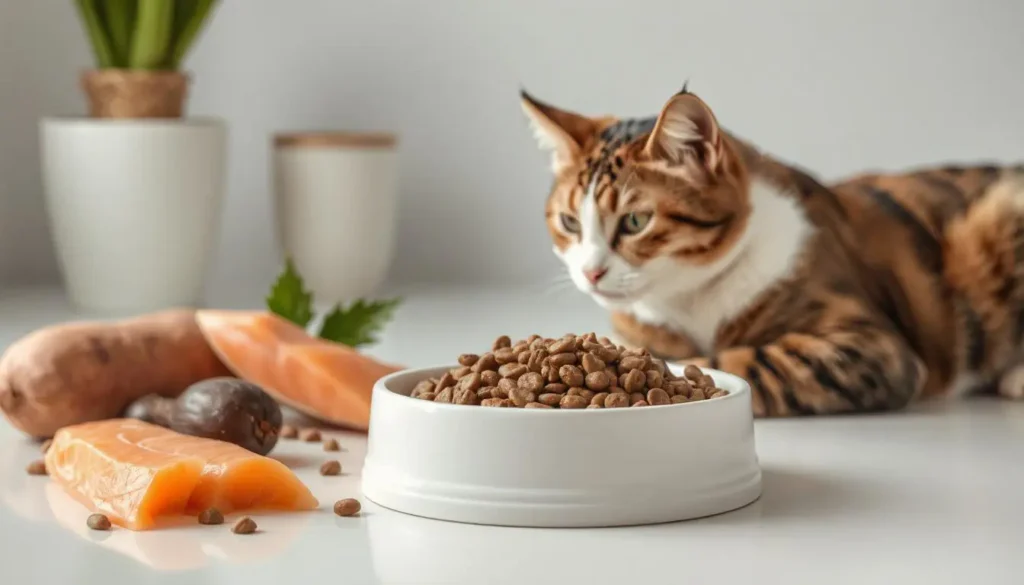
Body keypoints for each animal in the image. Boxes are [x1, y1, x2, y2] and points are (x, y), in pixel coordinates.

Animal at [520, 86, 1024, 415]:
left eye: (635, 222)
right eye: (569, 223)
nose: (591, 273)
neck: (686, 301)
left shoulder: (873, 348)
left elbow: (742, 362)